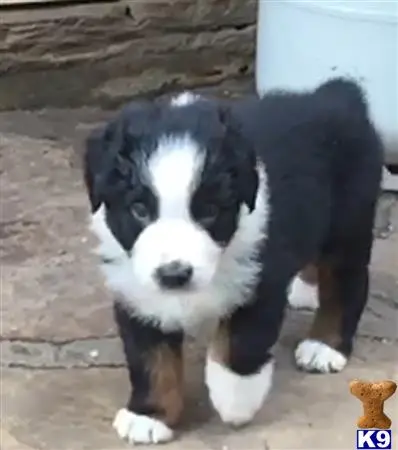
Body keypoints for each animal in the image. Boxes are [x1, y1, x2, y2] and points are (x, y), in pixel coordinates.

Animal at [83, 79, 382, 444]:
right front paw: (148, 416)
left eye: (210, 211)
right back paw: (305, 291)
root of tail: (338, 93)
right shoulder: (137, 292)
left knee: (346, 283)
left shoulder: (261, 276)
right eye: (139, 209)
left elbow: (240, 341)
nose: (174, 275)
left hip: (348, 221)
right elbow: (150, 359)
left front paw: (234, 399)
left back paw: (324, 347)